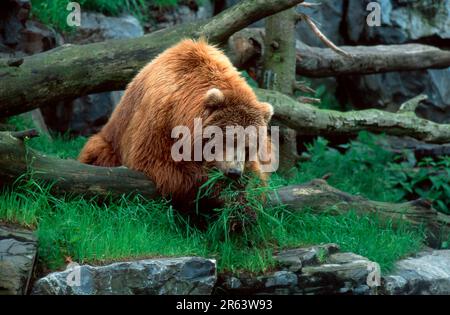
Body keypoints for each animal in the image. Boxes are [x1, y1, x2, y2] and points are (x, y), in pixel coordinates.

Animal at [78, 38, 274, 209]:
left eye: (249, 146)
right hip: (110, 142)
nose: (234, 172)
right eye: (226, 140)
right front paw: (213, 185)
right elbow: (158, 163)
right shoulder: (160, 120)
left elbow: (258, 176)